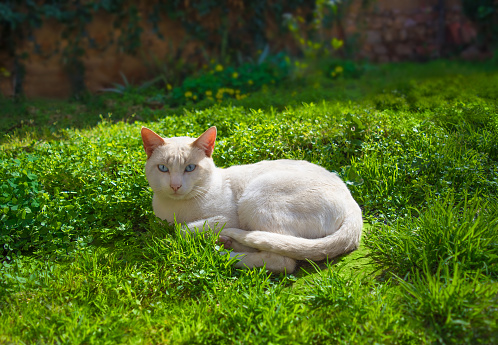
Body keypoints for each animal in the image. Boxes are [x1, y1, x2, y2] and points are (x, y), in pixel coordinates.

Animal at [140, 125, 362, 272]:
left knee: (282, 259)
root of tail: (353, 206)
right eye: (163, 168)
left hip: (256, 196)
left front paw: (210, 237)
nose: (175, 186)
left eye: (190, 168)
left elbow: (183, 230)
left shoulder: (227, 218)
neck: (175, 210)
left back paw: (221, 252)